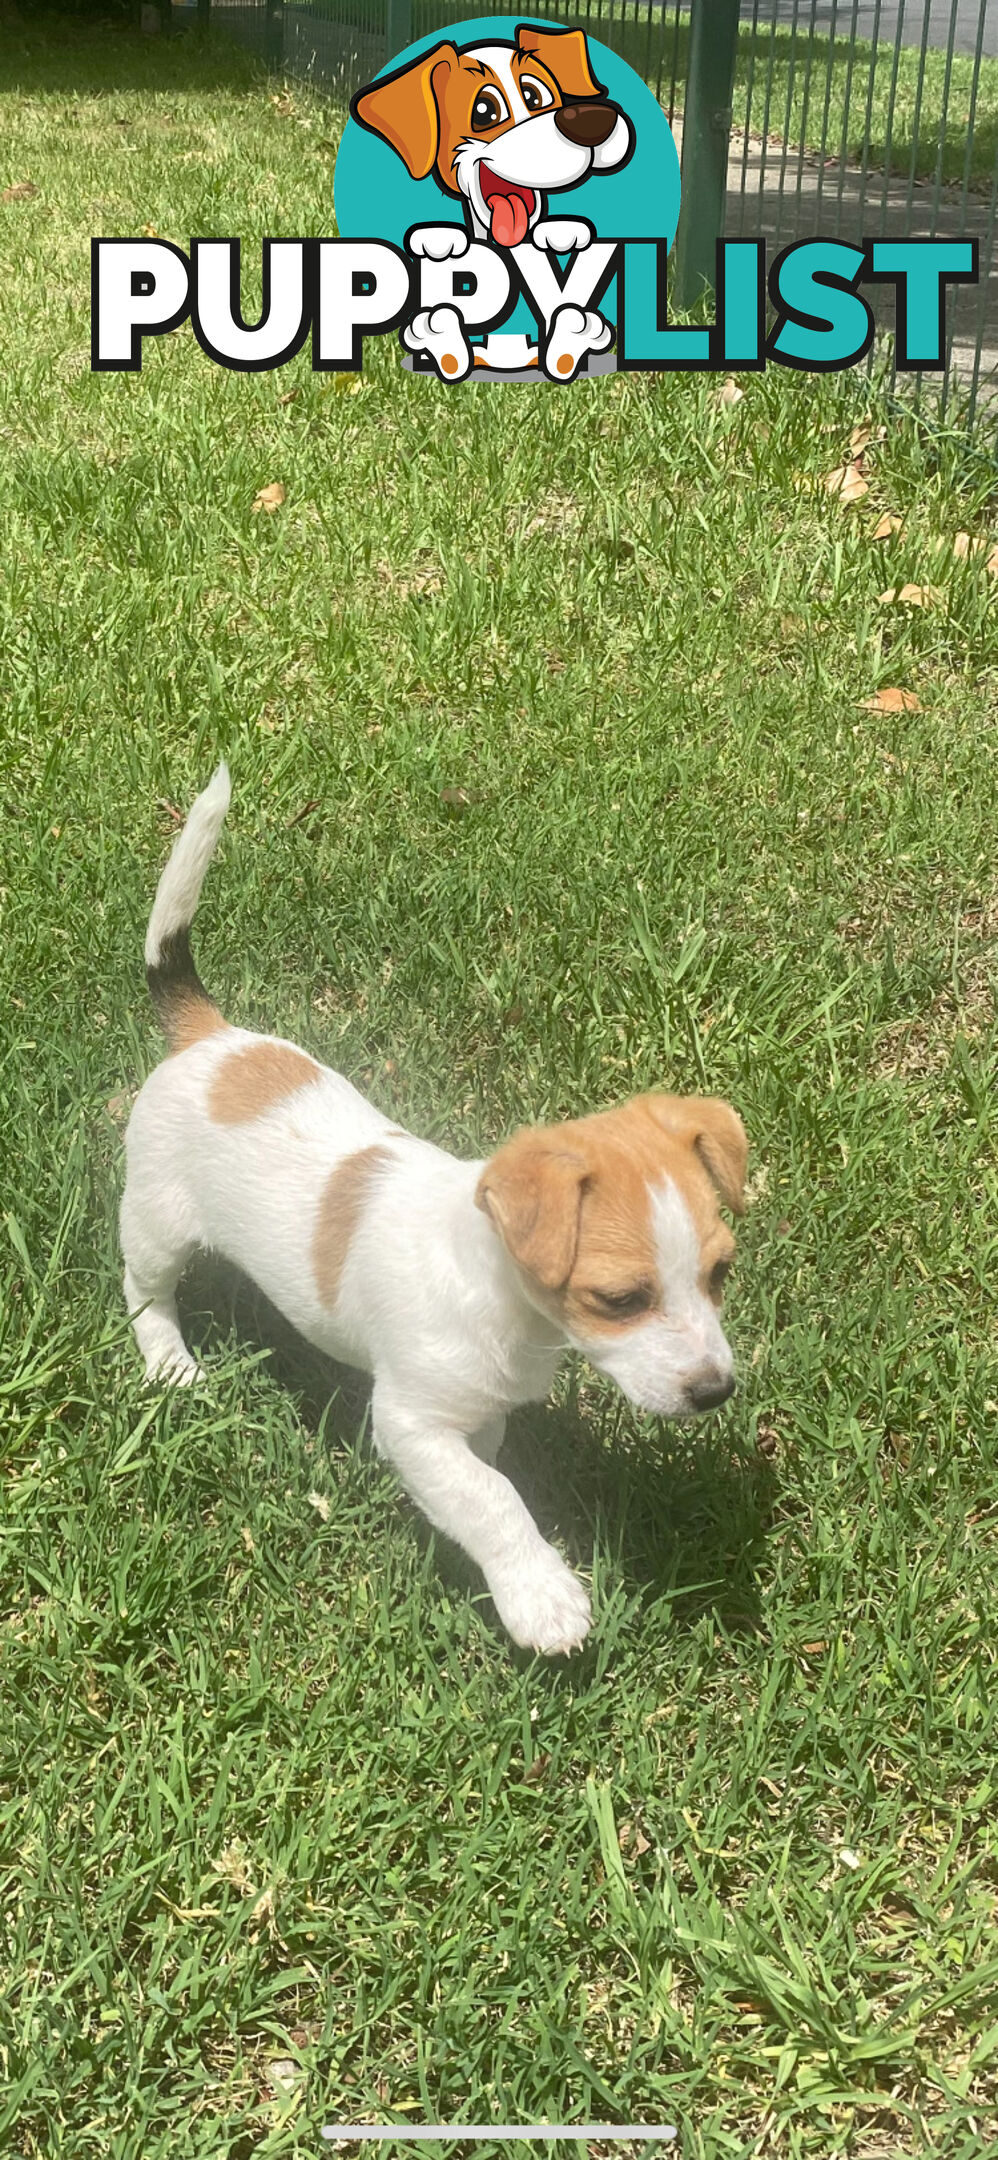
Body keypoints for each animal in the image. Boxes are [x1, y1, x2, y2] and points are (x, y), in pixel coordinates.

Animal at [120, 773, 743, 1650]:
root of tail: (207, 1037)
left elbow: (484, 1469)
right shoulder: (412, 1423)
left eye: (722, 1273)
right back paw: (169, 1361)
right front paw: (540, 1594)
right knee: (146, 1292)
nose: (716, 1392)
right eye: (621, 1299)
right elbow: (492, 1499)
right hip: (156, 1220)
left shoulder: (472, 1418)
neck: (501, 1299)